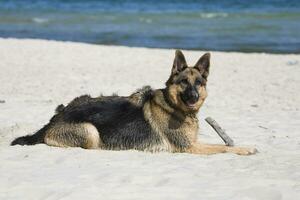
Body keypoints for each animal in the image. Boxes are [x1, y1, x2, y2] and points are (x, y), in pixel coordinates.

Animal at [10, 49, 256, 155]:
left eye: (198, 83)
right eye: (184, 82)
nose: (193, 98)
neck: (173, 106)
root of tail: (53, 120)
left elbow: (223, 144)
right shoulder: (189, 147)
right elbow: (222, 148)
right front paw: (246, 148)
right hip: (91, 131)